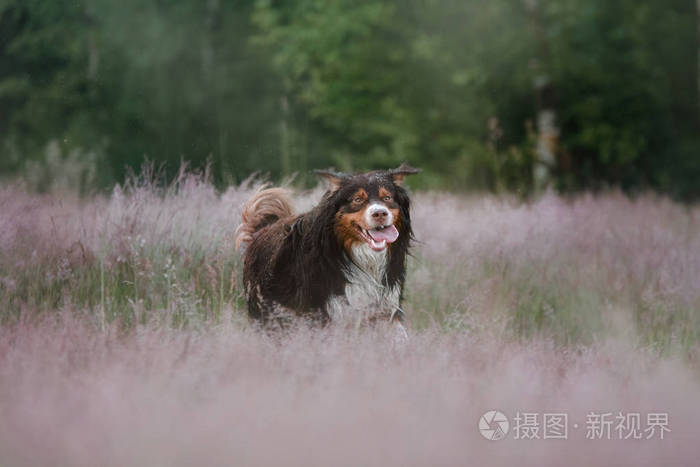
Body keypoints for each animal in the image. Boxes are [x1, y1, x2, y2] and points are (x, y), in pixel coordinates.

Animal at [235, 165, 422, 332]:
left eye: (387, 198)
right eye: (358, 200)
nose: (380, 214)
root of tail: (263, 229)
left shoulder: (385, 308)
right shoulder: (325, 311)